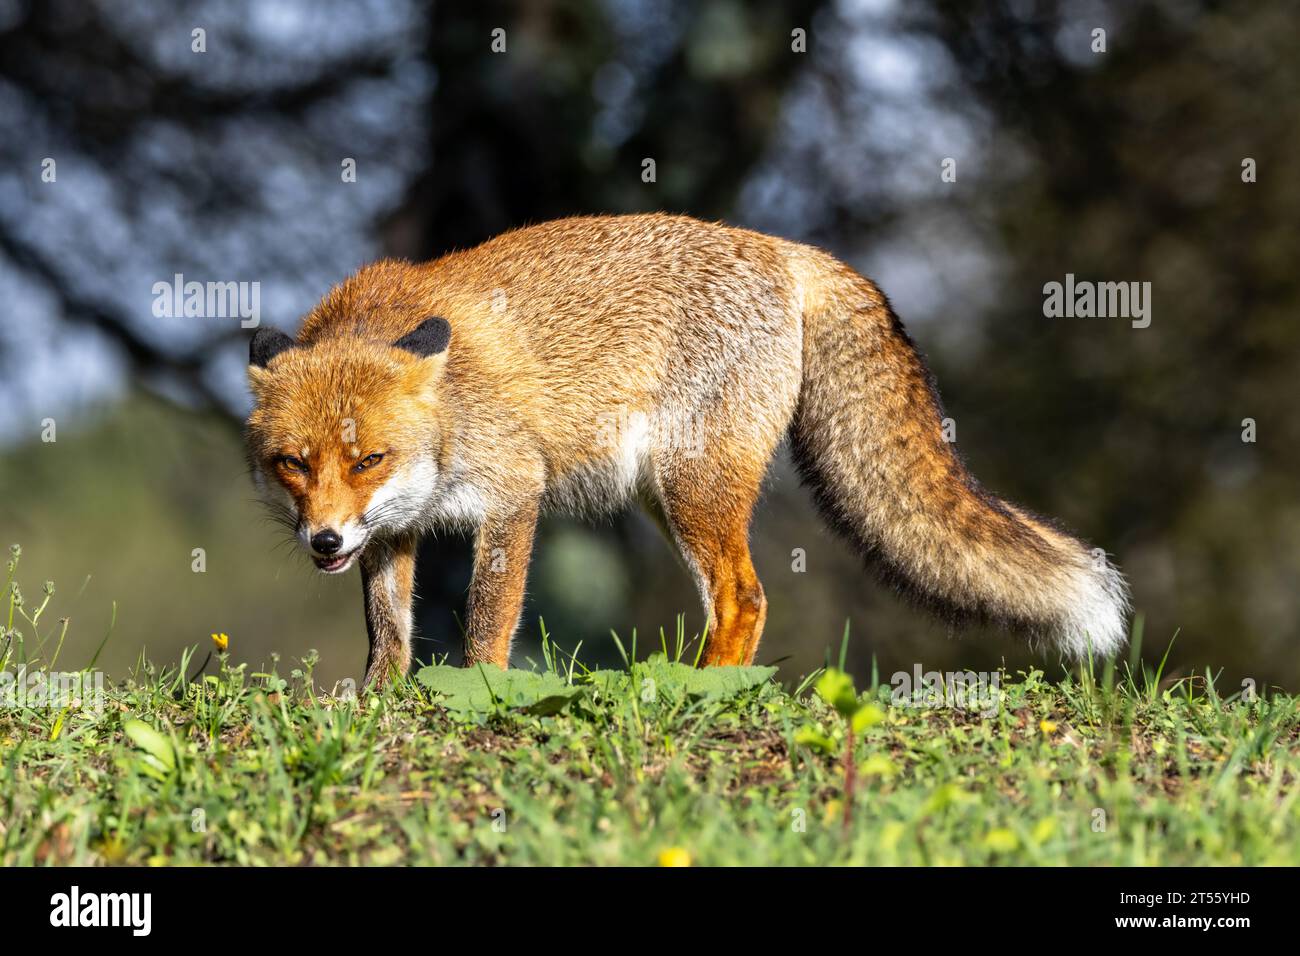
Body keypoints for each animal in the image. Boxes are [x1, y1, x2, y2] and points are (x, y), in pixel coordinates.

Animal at [245, 213, 1130, 688]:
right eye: (294, 463)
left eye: (368, 460)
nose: (322, 539)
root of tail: (782, 247)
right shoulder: (393, 532)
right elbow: (388, 635)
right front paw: (377, 705)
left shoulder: (512, 493)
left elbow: (487, 623)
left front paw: (480, 695)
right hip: (666, 500)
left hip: (695, 489)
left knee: (746, 597)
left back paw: (700, 692)